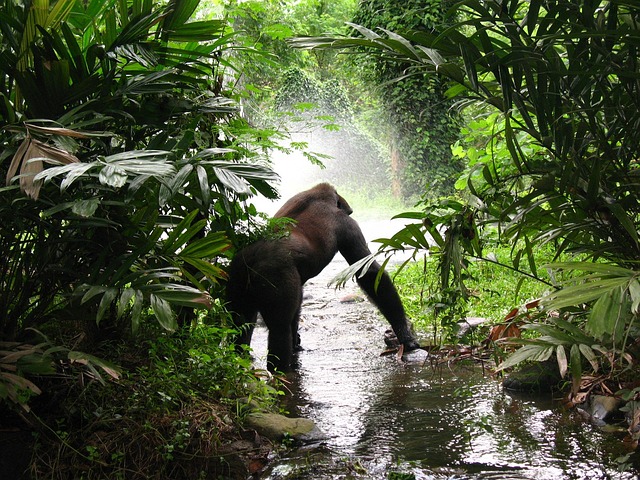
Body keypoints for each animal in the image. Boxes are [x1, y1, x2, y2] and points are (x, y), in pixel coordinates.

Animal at [225, 184, 420, 372]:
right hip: (273, 274)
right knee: (279, 329)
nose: (350, 210)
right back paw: (281, 371)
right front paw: (404, 334)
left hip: (235, 276)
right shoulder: (347, 224)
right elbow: (370, 273)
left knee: (240, 322)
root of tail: (252, 259)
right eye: (348, 212)